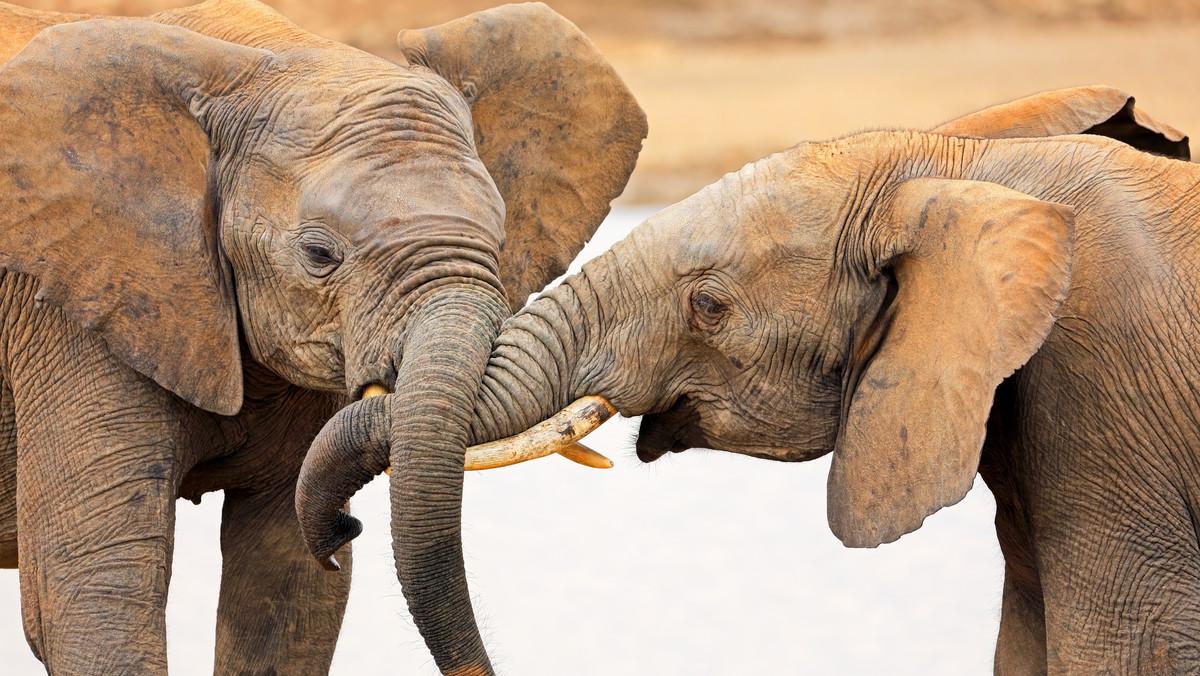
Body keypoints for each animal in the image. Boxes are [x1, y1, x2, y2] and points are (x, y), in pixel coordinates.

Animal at [0, 0, 648, 672]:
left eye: (500, 241)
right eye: (318, 255)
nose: (345, 528)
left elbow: (288, 585)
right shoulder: (75, 310)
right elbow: (95, 592)